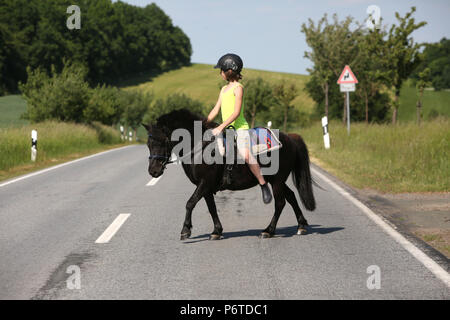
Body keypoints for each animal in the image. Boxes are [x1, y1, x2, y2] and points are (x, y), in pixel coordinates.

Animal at [142, 109, 314, 239]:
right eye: (148, 144)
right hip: (276, 180)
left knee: (280, 203)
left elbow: (190, 203)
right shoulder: (205, 187)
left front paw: (186, 230)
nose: (153, 171)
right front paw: (216, 231)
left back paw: (268, 231)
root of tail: (290, 137)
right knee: (291, 196)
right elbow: (211, 208)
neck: (199, 146)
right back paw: (301, 225)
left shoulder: (205, 182)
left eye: (163, 141)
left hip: (277, 180)